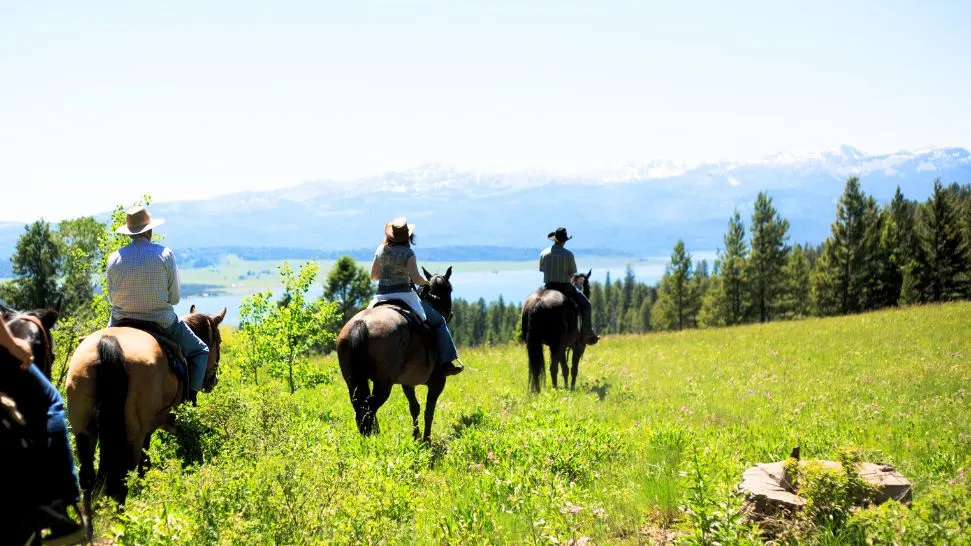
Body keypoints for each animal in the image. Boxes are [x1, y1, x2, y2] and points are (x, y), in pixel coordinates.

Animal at [64, 306, 226, 516]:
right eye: (219, 341)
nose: (212, 380)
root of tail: (108, 344)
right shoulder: (154, 425)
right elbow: (145, 463)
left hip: (83, 430)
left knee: (87, 477)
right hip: (133, 433)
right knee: (121, 478)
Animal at [336, 268, 454, 442]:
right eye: (449, 289)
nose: (450, 314)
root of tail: (361, 324)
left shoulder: (408, 383)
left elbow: (414, 408)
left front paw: (416, 437)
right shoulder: (438, 382)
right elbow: (429, 411)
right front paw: (426, 439)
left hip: (353, 381)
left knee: (360, 406)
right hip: (383, 382)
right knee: (370, 407)